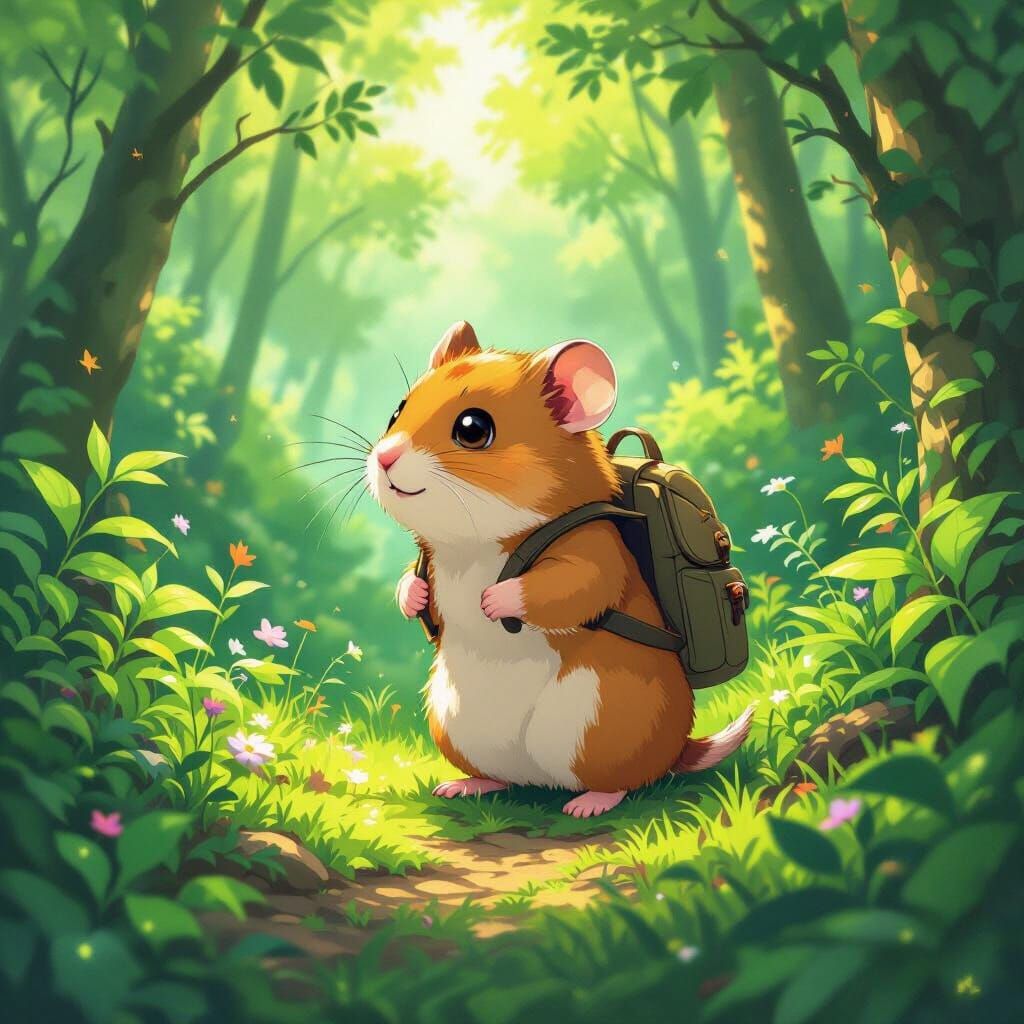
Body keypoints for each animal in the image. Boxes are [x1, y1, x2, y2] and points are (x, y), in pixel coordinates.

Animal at [367, 321, 754, 817]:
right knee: (499, 775)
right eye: (397, 411)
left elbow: (574, 586)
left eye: (473, 429)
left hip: (600, 721)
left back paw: (590, 803)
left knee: (625, 779)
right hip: (456, 726)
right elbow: (421, 597)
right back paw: (466, 786)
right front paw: (410, 595)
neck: (474, 544)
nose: (385, 458)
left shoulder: (594, 549)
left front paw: (494, 600)